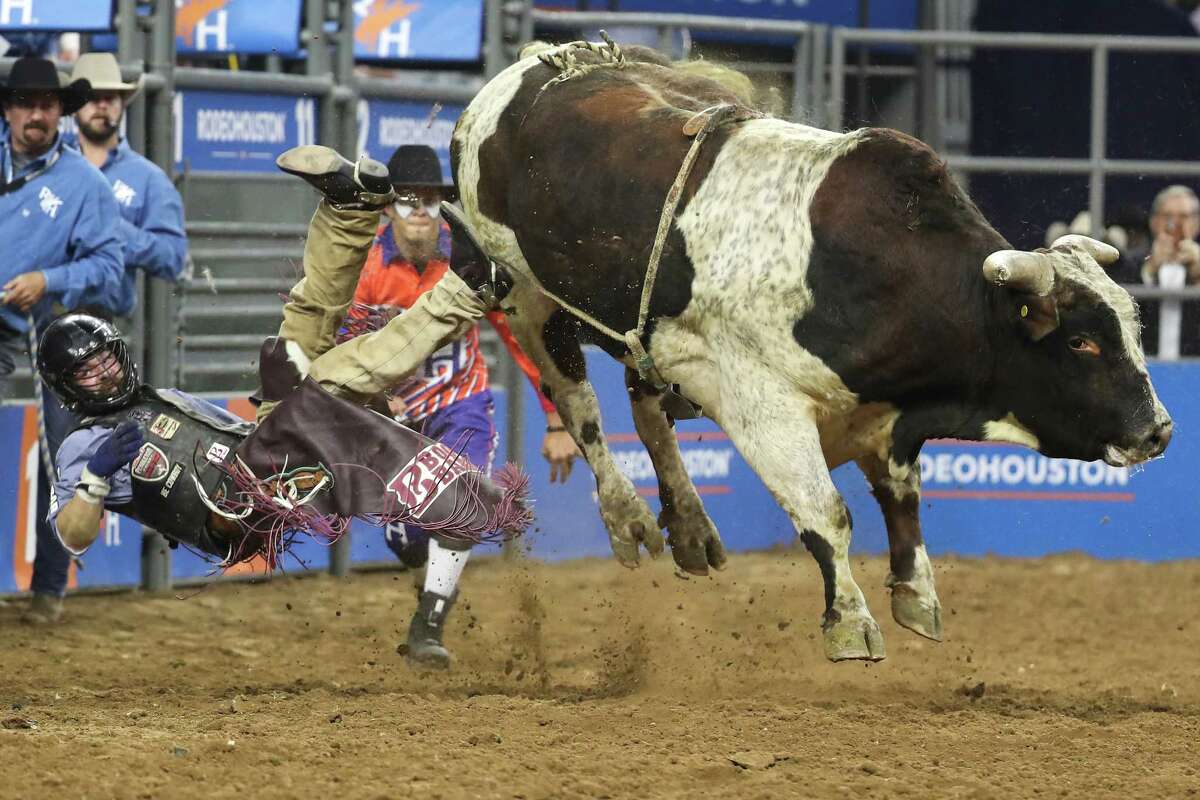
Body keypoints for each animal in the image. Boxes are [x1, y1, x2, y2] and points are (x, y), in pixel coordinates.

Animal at [451, 38, 1171, 662]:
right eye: (1081, 340)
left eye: (1134, 326)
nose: (1158, 430)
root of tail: (535, 66)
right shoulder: (766, 410)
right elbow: (828, 514)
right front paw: (850, 622)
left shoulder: (882, 419)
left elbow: (902, 499)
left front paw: (916, 594)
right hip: (529, 298)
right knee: (580, 405)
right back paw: (627, 517)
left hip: (648, 336)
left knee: (647, 408)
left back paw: (690, 526)